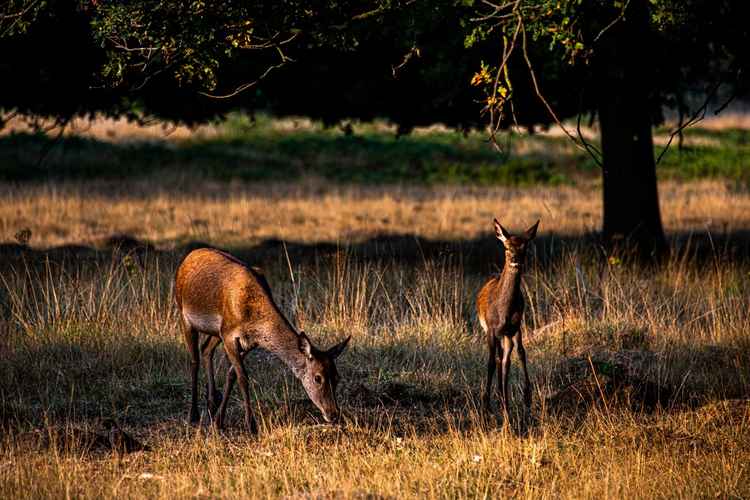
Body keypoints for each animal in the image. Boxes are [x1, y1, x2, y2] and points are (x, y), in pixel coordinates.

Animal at [176, 248, 352, 432]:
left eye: (337, 377)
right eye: (318, 378)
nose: (333, 414)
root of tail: (188, 257)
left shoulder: (248, 342)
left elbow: (231, 375)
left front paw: (219, 421)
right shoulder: (229, 335)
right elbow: (243, 377)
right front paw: (251, 425)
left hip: (216, 332)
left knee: (205, 349)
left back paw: (212, 405)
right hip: (184, 315)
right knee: (194, 360)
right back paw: (193, 414)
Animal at [478, 219, 544, 414]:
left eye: (524, 247)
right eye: (507, 247)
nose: (515, 260)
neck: (504, 312)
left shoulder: (515, 326)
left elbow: (521, 354)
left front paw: (527, 397)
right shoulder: (491, 329)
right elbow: (491, 362)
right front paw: (486, 403)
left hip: (506, 335)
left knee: (505, 359)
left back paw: (503, 397)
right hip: (493, 332)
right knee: (498, 359)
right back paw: (497, 397)